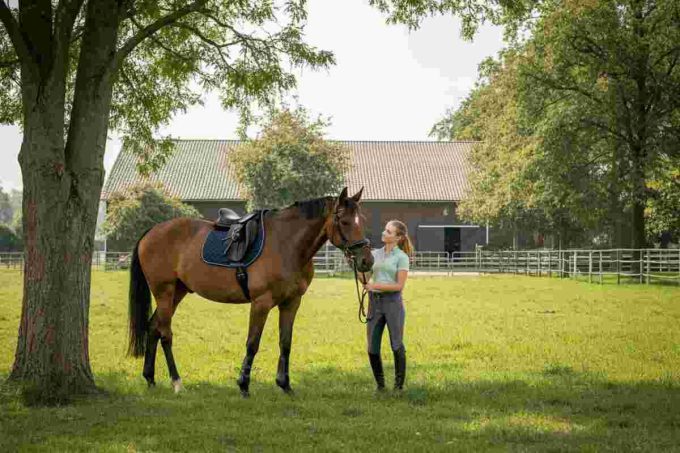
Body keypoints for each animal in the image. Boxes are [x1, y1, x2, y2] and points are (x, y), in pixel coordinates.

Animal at [127, 187, 373, 396]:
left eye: (363, 221)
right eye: (344, 221)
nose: (366, 261)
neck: (285, 244)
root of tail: (152, 231)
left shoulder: (291, 302)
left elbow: (286, 342)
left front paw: (284, 385)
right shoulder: (261, 303)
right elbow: (252, 343)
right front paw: (243, 385)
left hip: (178, 291)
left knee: (153, 327)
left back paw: (150, 378)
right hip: (164, 291)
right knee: (165, 334)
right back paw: (177, 382)